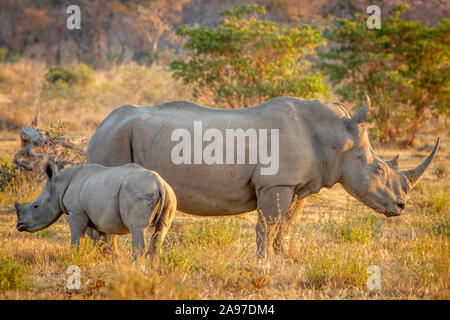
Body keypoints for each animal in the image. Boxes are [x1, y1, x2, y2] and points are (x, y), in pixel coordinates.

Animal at [14, 162, 176, 258]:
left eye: (35, 206)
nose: (19, 225)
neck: (59, 185)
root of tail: (159, 183)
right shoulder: (101, 218)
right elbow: (105, 243)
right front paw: (111, 261)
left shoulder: (76, 212)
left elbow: (77, 239)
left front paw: (74, 258)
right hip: (170, 194)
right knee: (161, 229)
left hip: (139, 191)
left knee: (138, 229)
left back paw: (135, 268)